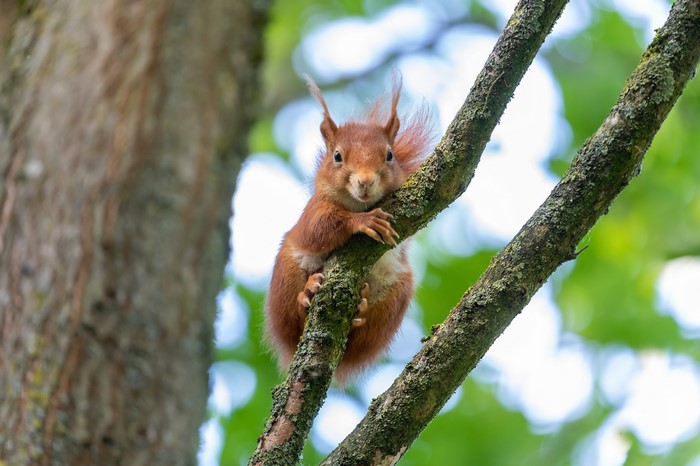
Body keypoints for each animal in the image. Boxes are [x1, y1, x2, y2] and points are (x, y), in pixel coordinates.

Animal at [265, 76, 433, 383]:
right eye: (337, 156)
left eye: (389, 155)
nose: (365, 182)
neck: (358, 205)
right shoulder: (313, 211)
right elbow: (319, 229)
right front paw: (364, 222)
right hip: (286, 274)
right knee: (293, 322)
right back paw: (306, 295)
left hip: (397, 295)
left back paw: (360, 310)